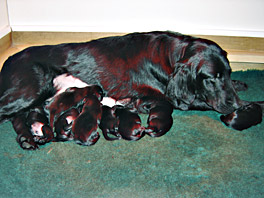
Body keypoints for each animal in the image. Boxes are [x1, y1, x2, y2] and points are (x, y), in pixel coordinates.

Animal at [0, 31, 262, 149]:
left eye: (226, 73)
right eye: (210, 79)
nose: (233, 104)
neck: (171, 55)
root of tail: (9, 59)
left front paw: (240, 85)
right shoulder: (174, 98)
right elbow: (201, 101)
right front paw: (250, 105)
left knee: (18, 118)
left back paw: (27, 139)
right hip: (30, 89)